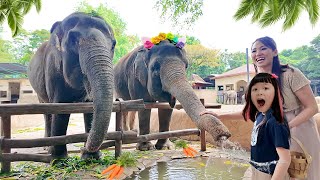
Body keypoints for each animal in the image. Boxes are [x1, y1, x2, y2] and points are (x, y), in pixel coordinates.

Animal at [27, 12, 116, 159]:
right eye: (74, 41)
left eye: (113, 44)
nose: (82, 148)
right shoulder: (53, 72)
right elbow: (60, 109)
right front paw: (59, 159)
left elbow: (89, 108)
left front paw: (91, 157)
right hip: (39, 91)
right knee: (46, 111)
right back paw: (47, 148)